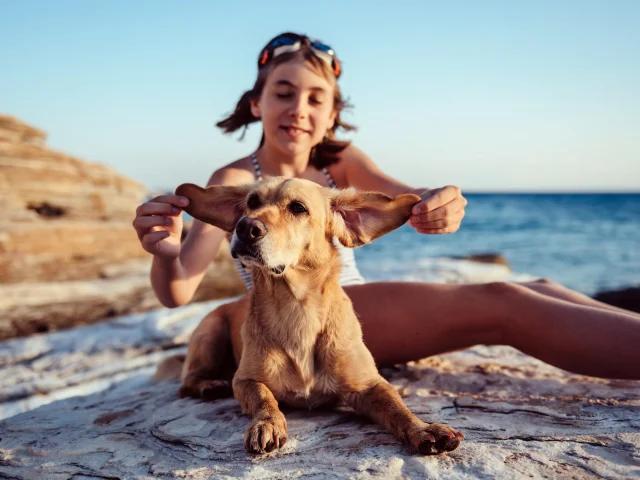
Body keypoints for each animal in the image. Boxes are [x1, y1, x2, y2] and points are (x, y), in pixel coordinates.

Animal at [168, 178, 462, 456]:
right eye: (252, 202)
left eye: (298, 208)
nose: (245, 226)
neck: (297, 309)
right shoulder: (244, 380)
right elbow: (264, 397)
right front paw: (267, 423)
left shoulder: (369, 385)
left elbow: (396, 406)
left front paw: (422, 428)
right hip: (211, 332)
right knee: (186, 383)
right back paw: (210, 386)